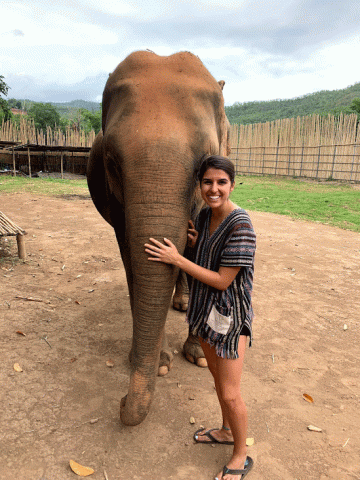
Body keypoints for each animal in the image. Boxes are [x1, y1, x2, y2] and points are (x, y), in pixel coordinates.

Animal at [88, 50, 232, 426]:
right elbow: (133, 262)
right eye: (111, 161)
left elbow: (201, 255)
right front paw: (162, 363)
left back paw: (181, 304)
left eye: (205, 163)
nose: (122, 402)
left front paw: (198, 357)